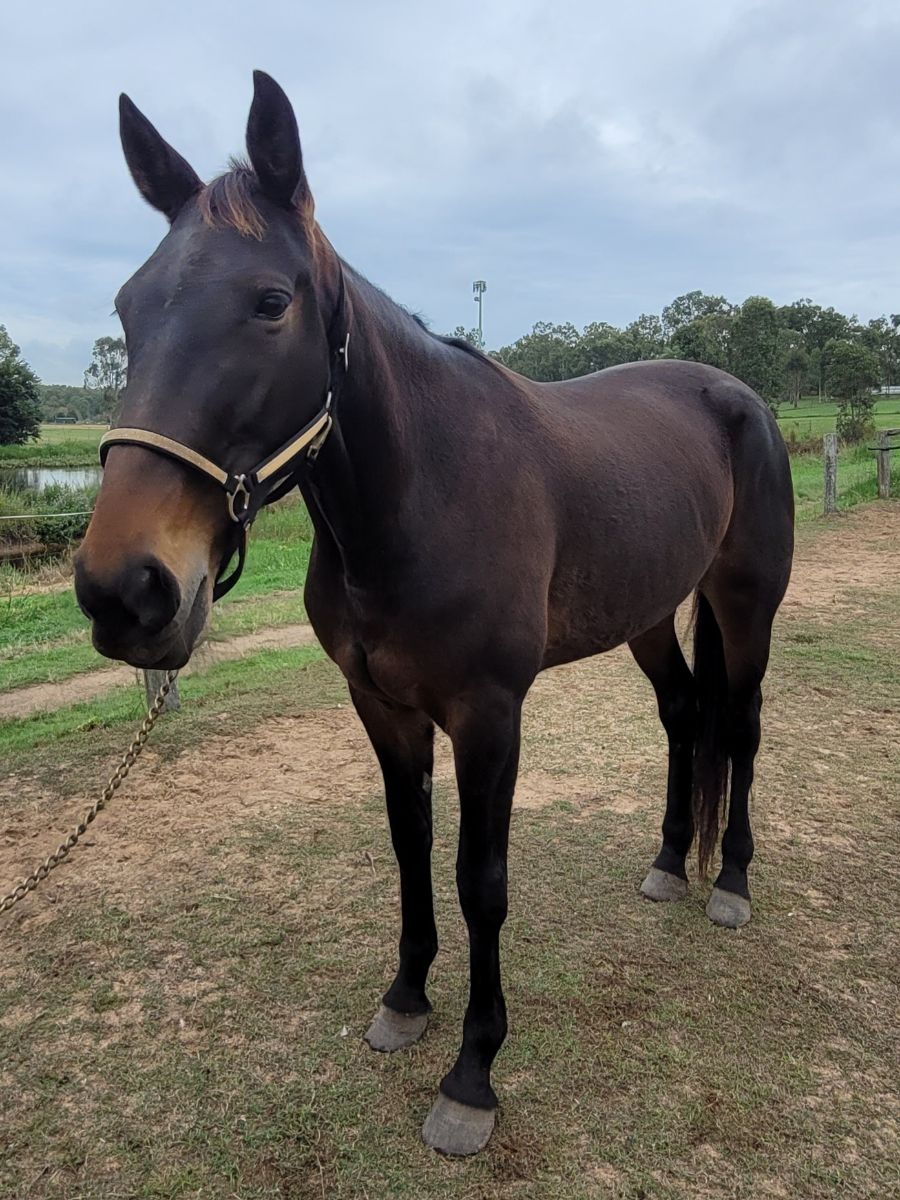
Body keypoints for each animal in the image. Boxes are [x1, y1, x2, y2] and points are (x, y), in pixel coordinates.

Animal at [74, 72, 795, 1156]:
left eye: (271, 303)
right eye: (128, 306)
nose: (125, 589)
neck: (423, 496)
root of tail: (735, 393)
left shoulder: (489, 715)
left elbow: (478, 879)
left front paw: (472, 1075)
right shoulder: (383, 708)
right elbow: (410, 850)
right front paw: (406, 998)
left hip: (746, 604)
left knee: (739, 728)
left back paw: (732, 885)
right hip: (648, 616)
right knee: (683, 717)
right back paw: (672, 862)